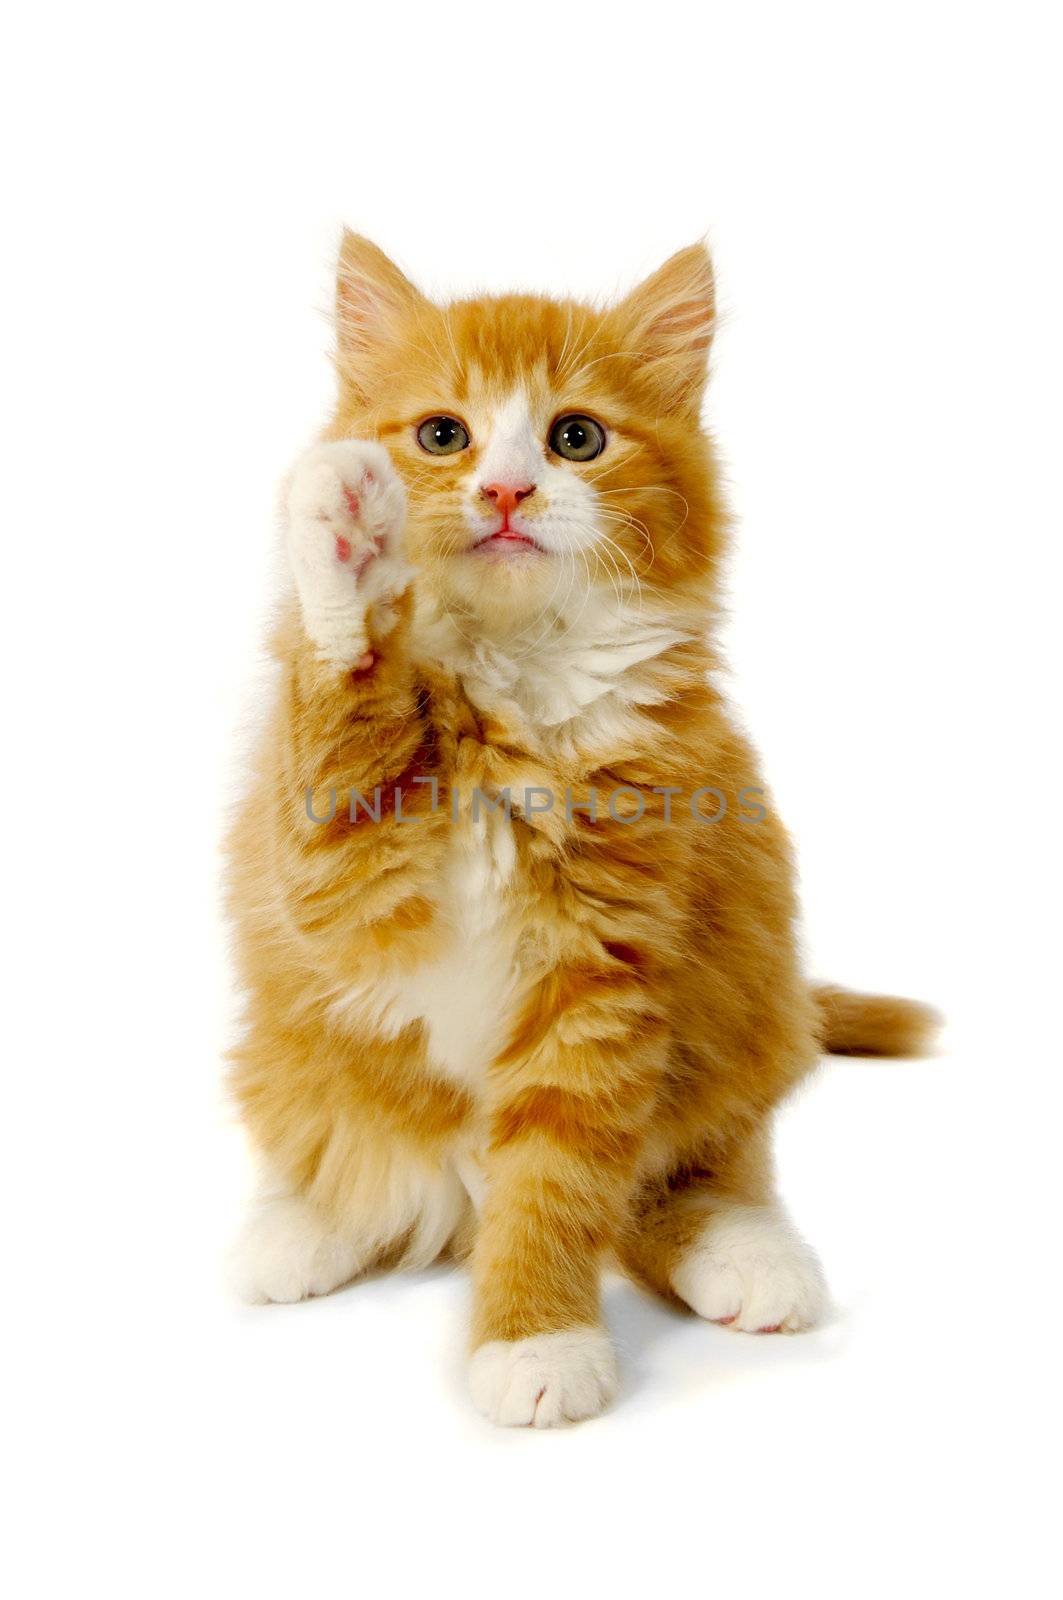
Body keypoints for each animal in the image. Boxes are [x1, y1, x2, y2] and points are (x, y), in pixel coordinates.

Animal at [228, 233, 934, 1427]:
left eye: (576, 437)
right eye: (442, 434)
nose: (507, 488)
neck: (508, 699)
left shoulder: (605, 975)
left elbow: (557, 1180)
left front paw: (533, 1338)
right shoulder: (330, 887)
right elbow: (341, 715)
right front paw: (348, 543)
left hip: (741, 1000)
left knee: (698, 1170)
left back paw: (750, 1257)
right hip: (291, 1045)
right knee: (352, 1149)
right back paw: (301, 1225)